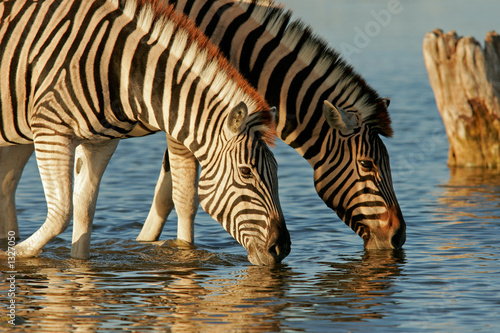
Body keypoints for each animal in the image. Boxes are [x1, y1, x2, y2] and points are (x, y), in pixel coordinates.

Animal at [0, 0, 292, 264]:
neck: (121, 72)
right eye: (246, 172)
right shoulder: (50, 129)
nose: (283, 248)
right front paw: (12, 255)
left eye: (277, 170)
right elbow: (61, 214)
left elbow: (84, 211)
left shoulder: (100, 142)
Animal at [136, 0, 406, 249]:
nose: (400, 237)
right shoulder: (183, 119)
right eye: (366, 164)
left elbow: (166, 194)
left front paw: (145, 242)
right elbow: (178, 197)